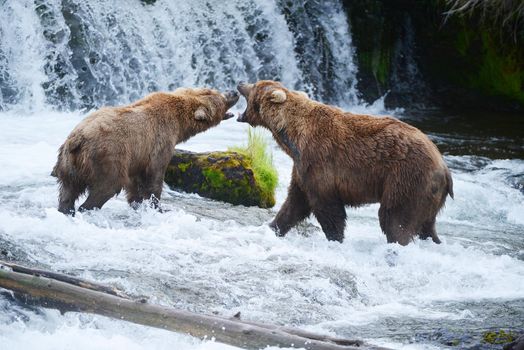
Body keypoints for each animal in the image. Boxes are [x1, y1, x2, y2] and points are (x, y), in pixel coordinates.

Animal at [52, 87, 237, 215]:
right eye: (221, 99)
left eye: (213, 89)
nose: (234, 92)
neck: (179, 124)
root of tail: (77, 139)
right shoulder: (159, 143)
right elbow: (154, 177)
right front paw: (159, 208)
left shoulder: (137, 156)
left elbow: (134, 183)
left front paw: (137, 204)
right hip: (105, 157)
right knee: (107, 186)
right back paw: (86, 209)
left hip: (68, 163)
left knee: (67, 191)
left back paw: (66, 210)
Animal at [238, 80, 454, 245]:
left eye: (254, 84)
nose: (240, 83)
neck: (292, 136)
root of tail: (444, 167)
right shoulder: (301, 169)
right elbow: (295, 204)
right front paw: (271, 227)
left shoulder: (318, 160)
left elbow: (327, 207)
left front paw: (335, 238)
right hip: (429, 196)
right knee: (427, 226)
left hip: (408, 178)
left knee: (394, 218)